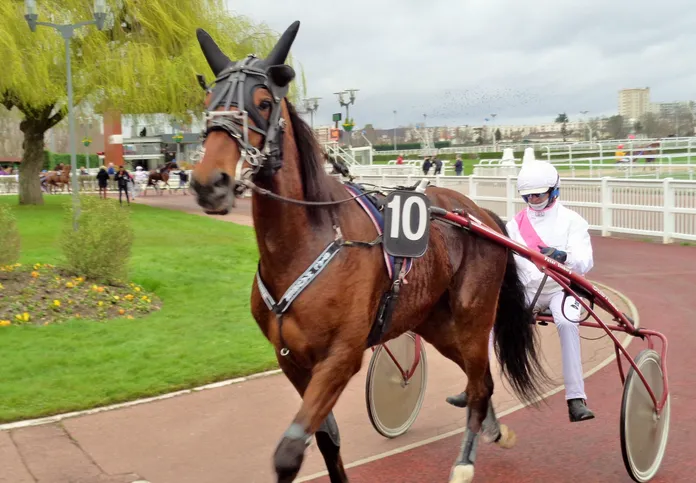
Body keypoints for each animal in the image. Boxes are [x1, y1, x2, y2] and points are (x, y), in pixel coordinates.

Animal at [189, 22, 550, 483]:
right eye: (208, 103)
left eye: (264, 102)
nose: (208, 182)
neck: (308, 243)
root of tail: (479, 213)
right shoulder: (292, 359)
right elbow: (325, 439)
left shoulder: (341, 356)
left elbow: (288, 452)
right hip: (434, 320)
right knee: (478, 379)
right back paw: (493, 429)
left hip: (472, 315)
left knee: (479, 381)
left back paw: (465, 462)